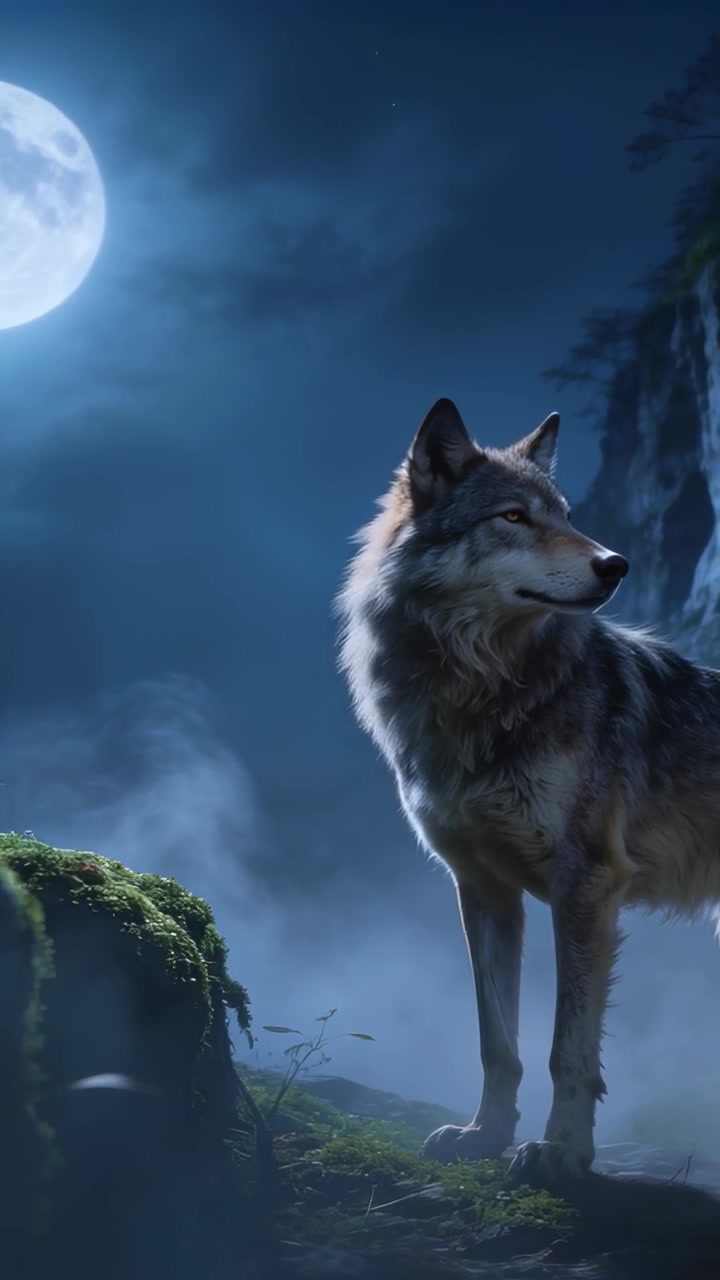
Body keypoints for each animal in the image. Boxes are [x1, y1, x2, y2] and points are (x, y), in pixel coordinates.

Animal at [336, 396, 720, 1183]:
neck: (480, 688)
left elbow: (565, 1046)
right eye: (514, 517)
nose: (616, 563)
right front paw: (484, 1135)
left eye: (568, 515)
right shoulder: (482, 887)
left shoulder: (587, 883)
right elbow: (498, 1043)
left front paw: (562, 1150)